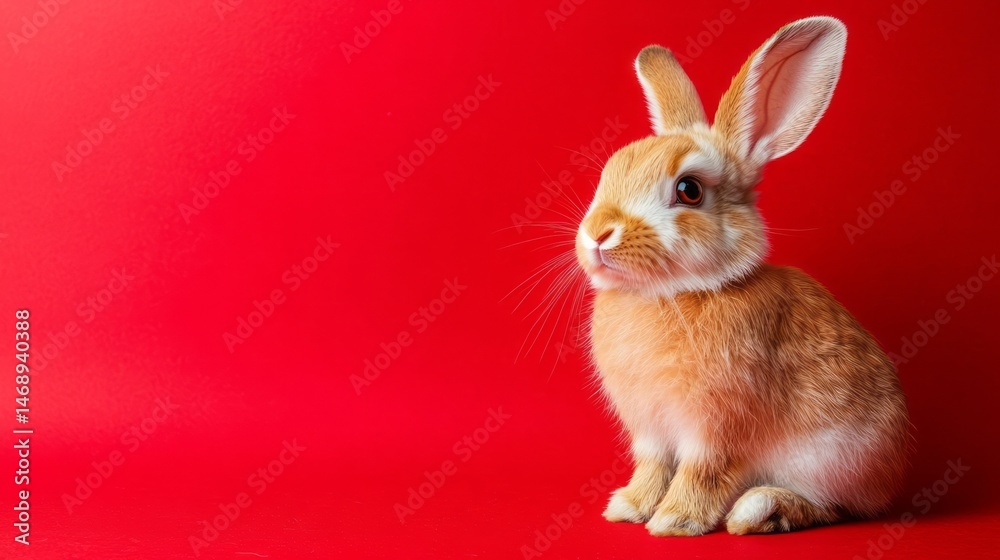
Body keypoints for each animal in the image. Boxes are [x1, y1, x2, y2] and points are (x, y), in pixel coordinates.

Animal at [574, 16, 909, 536]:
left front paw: (674, 521)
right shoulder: (651, 432)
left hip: (831, 460)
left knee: (833, 508)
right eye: (611, 170)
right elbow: (652, 467)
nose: (597, 235)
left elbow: (702, 471)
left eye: (689, 190)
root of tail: (891, 478)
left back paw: (761, 510)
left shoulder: (715, 428)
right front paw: (627, 508)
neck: (673, 292)